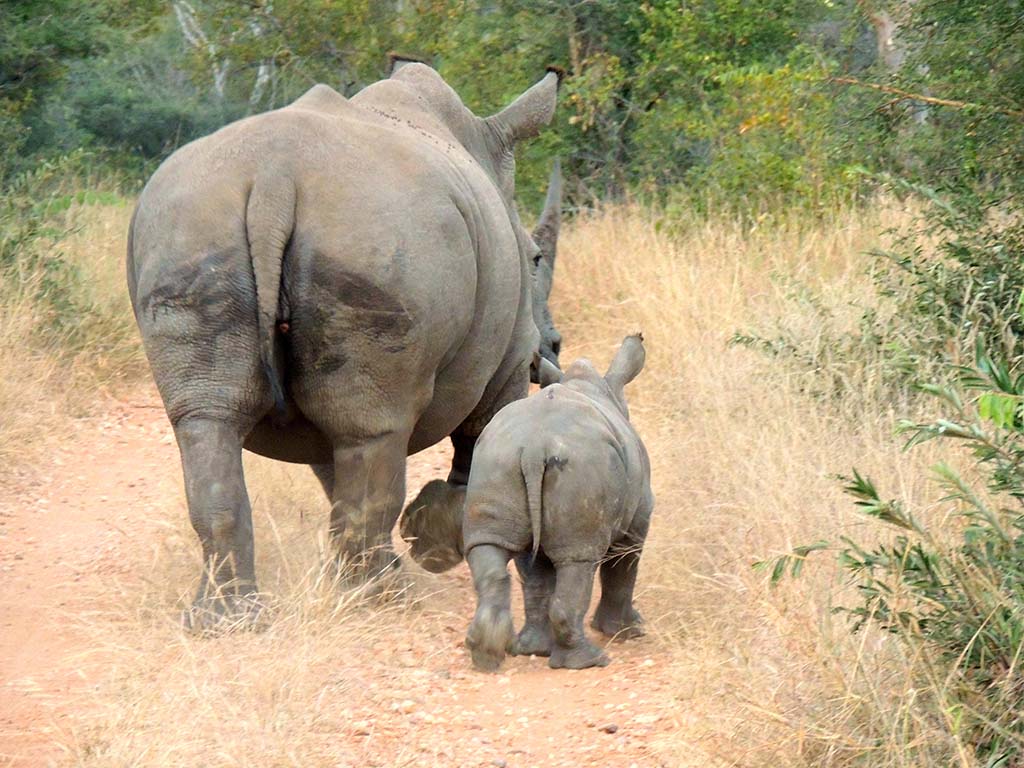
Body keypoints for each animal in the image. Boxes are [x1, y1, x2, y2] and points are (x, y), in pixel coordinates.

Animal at [462, 333, 651, 671]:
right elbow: (623, 566)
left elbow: (539, 575)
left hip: (495, 457)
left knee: (489, 547)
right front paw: (626, 631)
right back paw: (589, 661)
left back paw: (494, 654)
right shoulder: (637, 520)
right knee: (579, 560)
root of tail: (535, 446)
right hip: (581, 464)